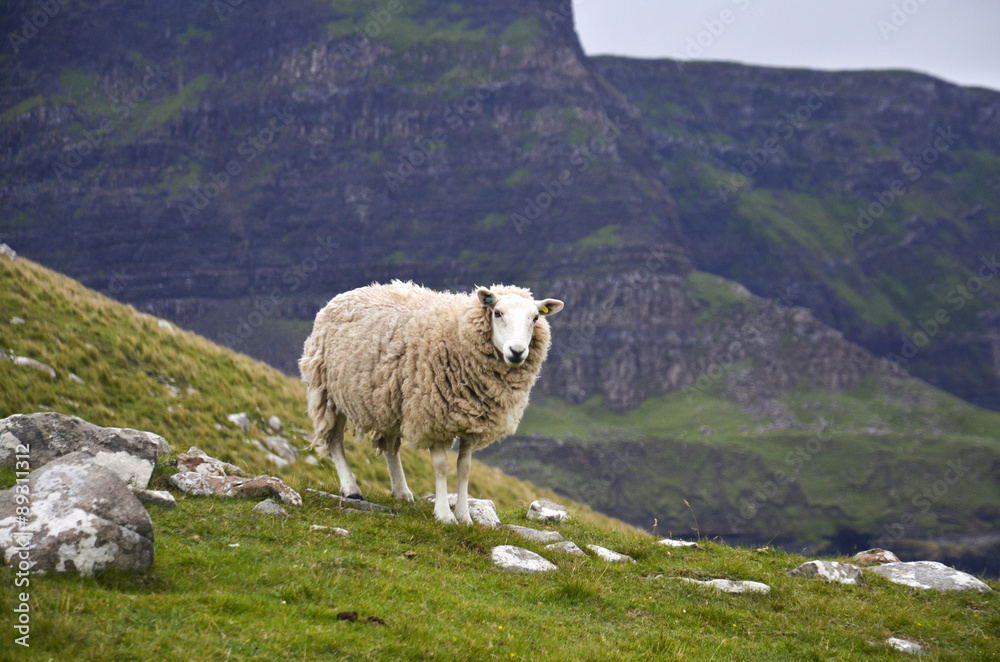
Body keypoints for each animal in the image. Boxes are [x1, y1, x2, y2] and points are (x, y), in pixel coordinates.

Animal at [296, 280, 564, 524]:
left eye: (535, 318)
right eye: (497, 313)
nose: (517, 352)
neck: (459, 332)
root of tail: (347, 293)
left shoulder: (472, 421)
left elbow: (464, 468)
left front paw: (464, 516)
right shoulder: (434, 415)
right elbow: (441, 466)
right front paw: (444, 514)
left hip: (391, 397)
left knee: (390, 446)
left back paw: (401, 491)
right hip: (329, 391)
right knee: (335, 440)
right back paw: (351, 488)